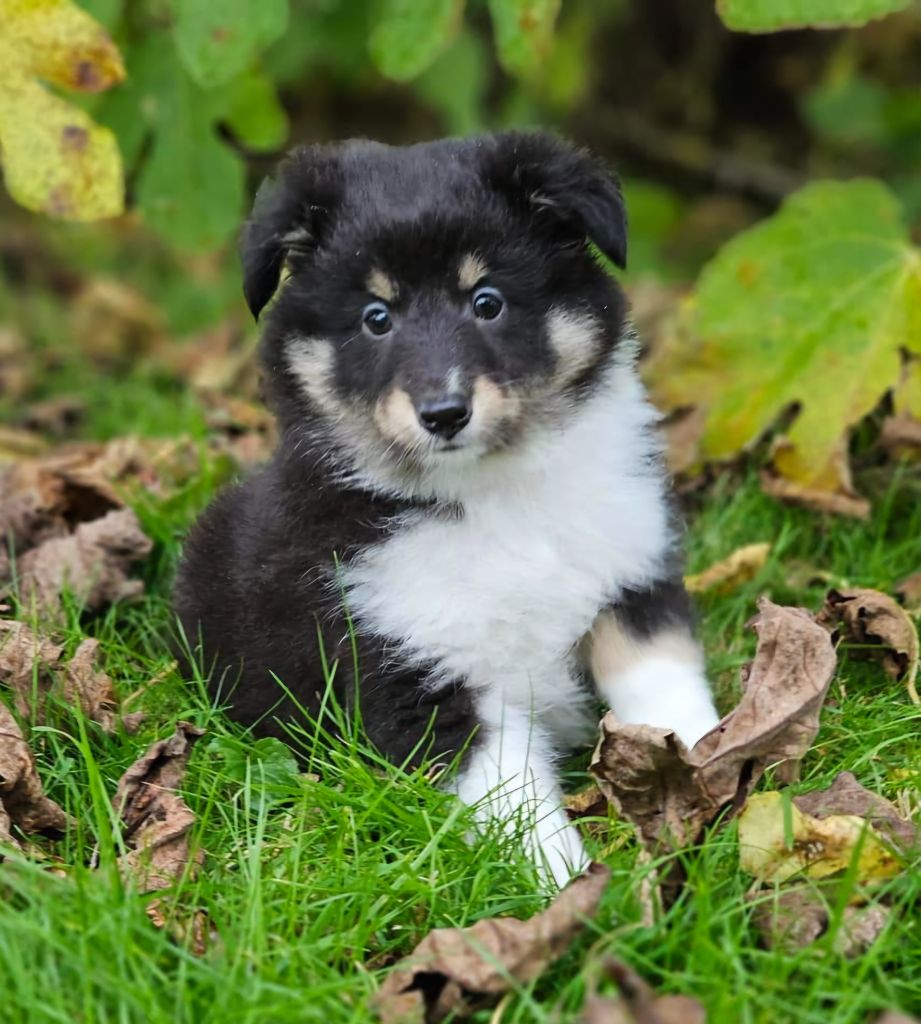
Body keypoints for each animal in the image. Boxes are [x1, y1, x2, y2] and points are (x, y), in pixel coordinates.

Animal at [175, 132, 721, 888]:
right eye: (376, 318)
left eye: (486, 301)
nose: (443, 413)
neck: (491, 494)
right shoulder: (418, 676)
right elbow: (514, 798)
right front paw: (573, 887)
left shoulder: (631, 581)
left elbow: (664, 683)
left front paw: (723, 767)